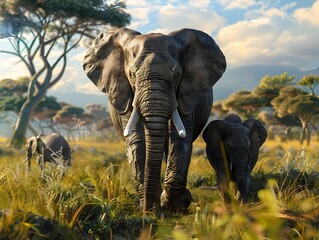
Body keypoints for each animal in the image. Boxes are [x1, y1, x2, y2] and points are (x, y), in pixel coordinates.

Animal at [83, 27, 228, 212]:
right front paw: (151, 207)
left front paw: (174, 207)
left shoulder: (186, 93)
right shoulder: (126, 95)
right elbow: (136, 142)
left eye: (176, 74)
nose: (147, 210)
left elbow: (179, 139)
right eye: (132, 74)